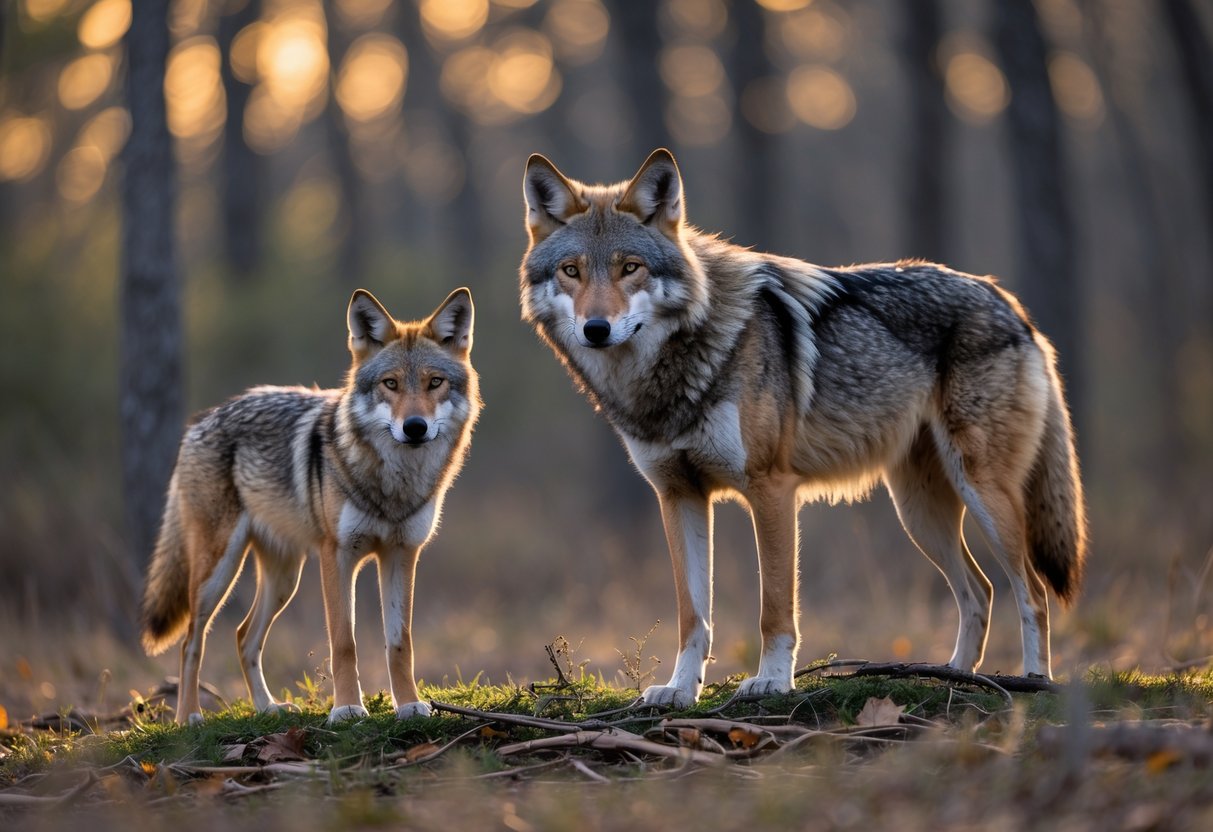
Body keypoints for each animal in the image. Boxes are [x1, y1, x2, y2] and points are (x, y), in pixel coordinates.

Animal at [140, 288, 480, 725]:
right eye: (390, 384)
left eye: (434, 382)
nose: (415, 427)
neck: (393, 483)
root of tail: (199, 421)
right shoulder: (337, 556)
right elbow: (344, 642)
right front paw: (348, 708)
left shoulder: (401, 554)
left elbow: (400, 643)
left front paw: (408, 705)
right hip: (218, 572)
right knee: (190, 643)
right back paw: (189, 717)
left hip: (285, 579)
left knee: (243, 636)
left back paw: (268, 708)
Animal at [519, 148, 1086, 708]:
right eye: (572, 271)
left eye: (630, 268)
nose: (596, 329)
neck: (671, 376)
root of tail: (1005, 299)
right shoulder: (678, 495)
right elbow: (692, 614)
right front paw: (680, 690)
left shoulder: (771, 489)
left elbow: (774, 606)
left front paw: (771, 681)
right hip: (919, 513)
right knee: (980, 591)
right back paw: (955, 679)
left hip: (981, 493)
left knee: (1031, 592)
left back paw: (1031, 681)